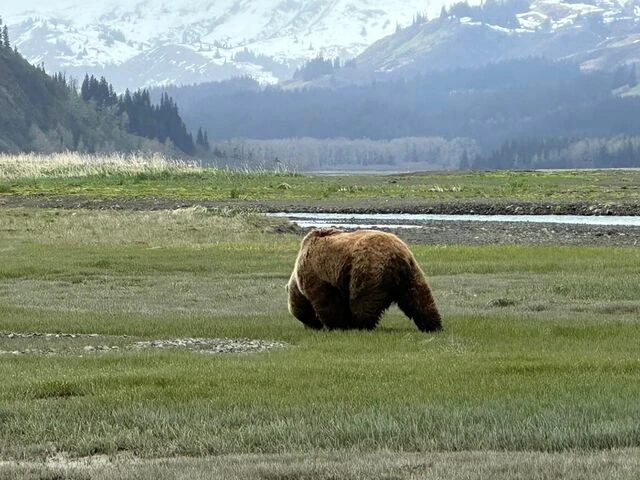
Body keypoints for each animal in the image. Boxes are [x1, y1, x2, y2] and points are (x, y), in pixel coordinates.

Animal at [287, 228, 442, 332]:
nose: (309, 327)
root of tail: (397, 256)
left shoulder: (319, 273)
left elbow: (328, 302)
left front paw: (337, 326)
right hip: (411, 272)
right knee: (419, 298)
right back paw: (433, 326)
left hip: (367, 269)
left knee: (362, 300)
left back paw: (360, 325)